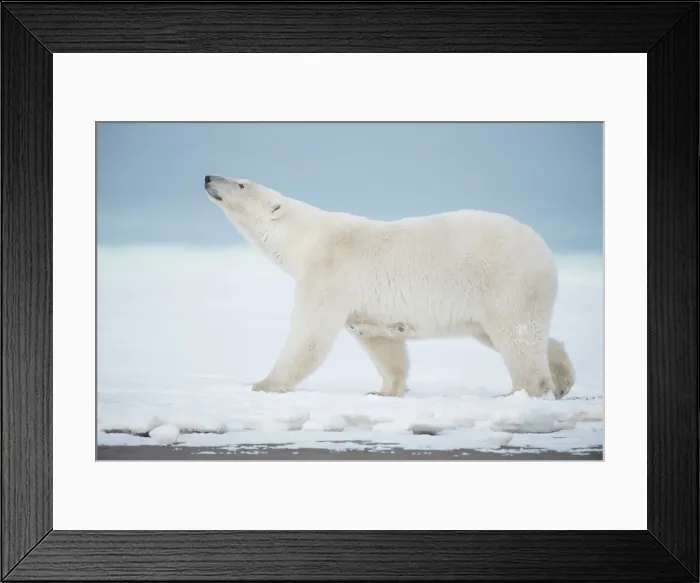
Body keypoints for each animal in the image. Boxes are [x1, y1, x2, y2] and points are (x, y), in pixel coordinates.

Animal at [204, 175, 575, 399]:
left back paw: (523, 391)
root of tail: (544, 250)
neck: (307, 239)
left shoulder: (329, 274)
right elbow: (382, 344)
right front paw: (384, 391)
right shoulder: (365, 306)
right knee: (516, 335)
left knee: (516, 335)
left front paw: (263, 384)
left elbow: (308, 336)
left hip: (506, 282)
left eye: (241, 183)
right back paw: (563, 379)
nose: (208, 177)